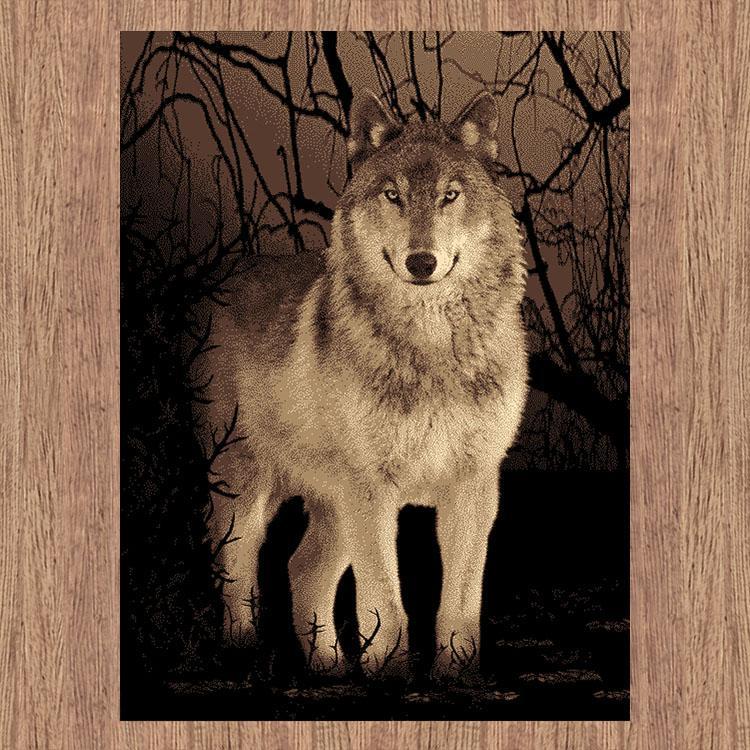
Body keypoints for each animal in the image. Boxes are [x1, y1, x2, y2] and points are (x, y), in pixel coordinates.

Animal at [194, 90, 528, 678]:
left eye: (450, 196)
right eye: (393, 195)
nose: (422, 261)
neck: (430, 348)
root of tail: (223, 277)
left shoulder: (474, 486)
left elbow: (461, 604)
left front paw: (455, 677)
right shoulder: (373, 489)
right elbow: (387, 604)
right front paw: (389, 678)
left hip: (333, 504)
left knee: (301, 568)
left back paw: (328, 669)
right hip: (250, 489)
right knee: (235, 565)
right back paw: (243, 651)